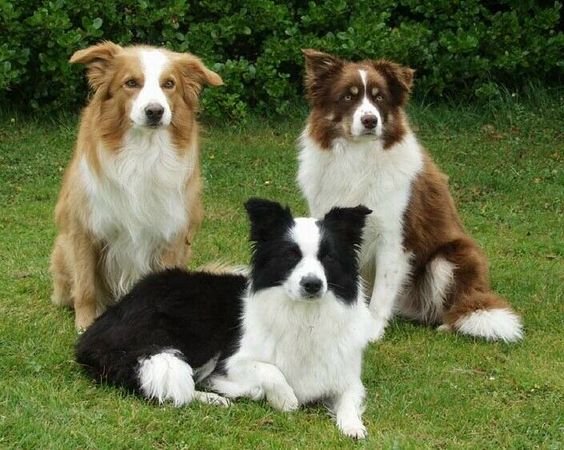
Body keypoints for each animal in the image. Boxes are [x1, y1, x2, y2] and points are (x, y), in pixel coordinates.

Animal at [49, 41, 223, 330]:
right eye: (131, 83)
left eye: (169, 84)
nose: (155, 111)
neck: (143, 151)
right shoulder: (84, 228)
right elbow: (86, 285)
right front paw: (85, 323)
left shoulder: (170, 235)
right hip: (62, 248)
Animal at [75, 200, 374, 440]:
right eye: (291, 256)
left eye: (328, 257)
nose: (312, 284)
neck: (305, 317)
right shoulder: (234, 360)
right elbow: (271, 372)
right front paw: (284, 399)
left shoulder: (346, 375)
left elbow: (350, 399)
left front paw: (352, 426)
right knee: (178, 386)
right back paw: (215, 396)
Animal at [298, 50, 524, 342]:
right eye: (348, 96)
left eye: (379, 97)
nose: (370, 121)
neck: (358, 158)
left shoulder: (395, 238)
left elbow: (382, 294)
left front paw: (371, 330)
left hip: (448, 259)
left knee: (459, 307)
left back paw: (448, 325)